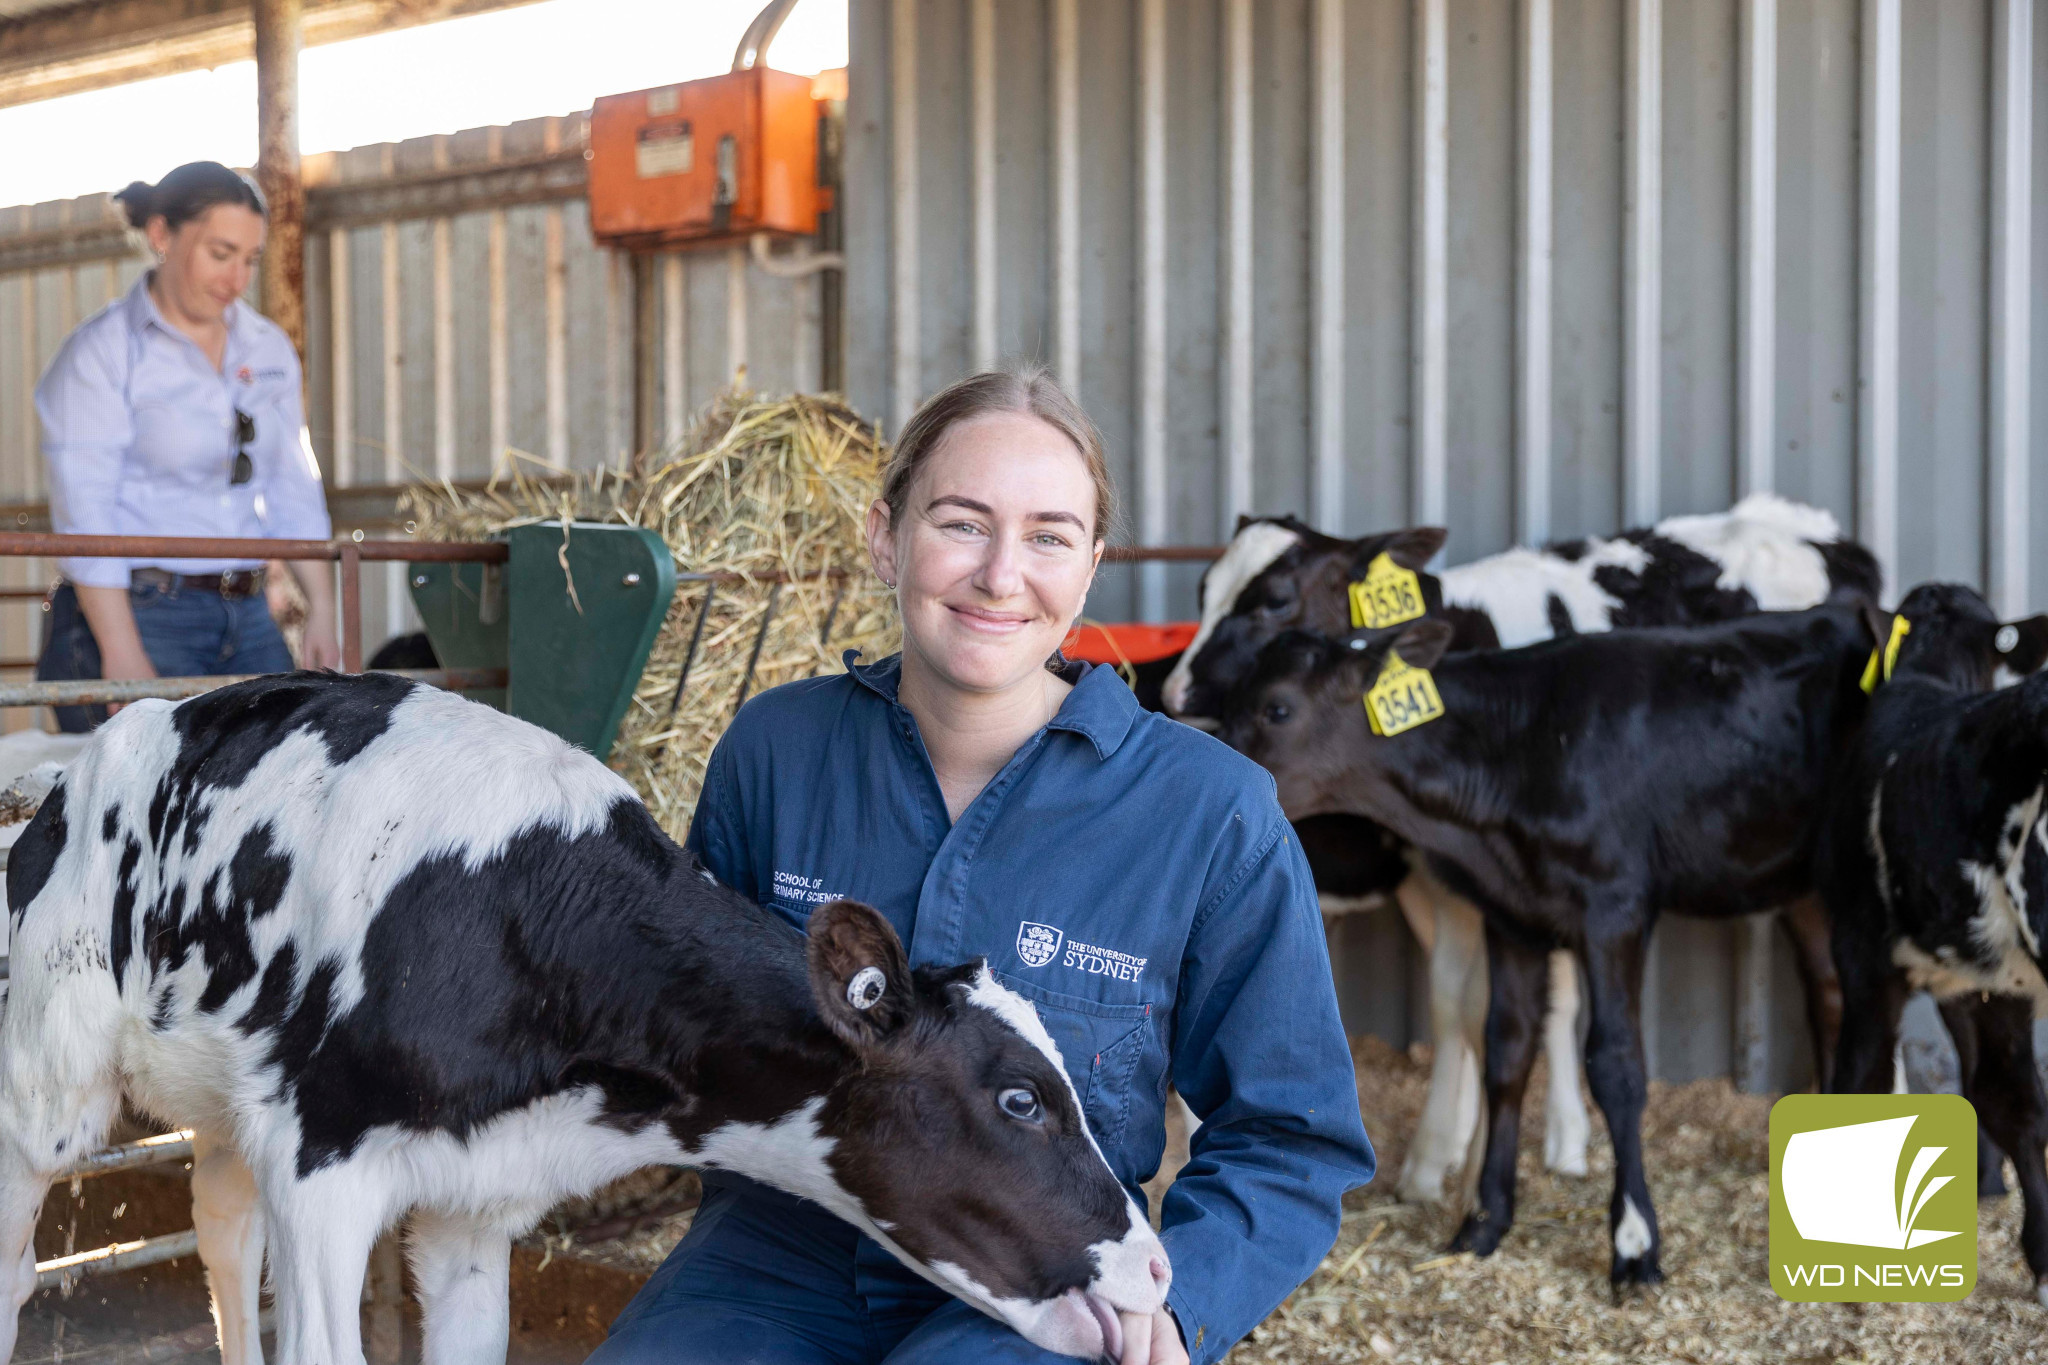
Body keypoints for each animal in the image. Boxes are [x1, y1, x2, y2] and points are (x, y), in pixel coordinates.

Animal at [0, 675, 1171, 1365]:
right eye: (1018, 1098)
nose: (1158, 1270)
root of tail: (80, 761)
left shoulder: (473, 1203)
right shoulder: (319, 1161)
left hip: (220, 1101)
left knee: (222, 1232)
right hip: (43, 1095)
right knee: (20, 1264)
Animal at [1220, 609, 1875, 1293]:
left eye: (1276, 708)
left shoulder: (1614, 908)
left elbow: (1615, 1066)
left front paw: (1634, 1243)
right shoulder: (1512, 914)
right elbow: (1506, 1052)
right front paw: (1484, 1220)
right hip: (1804, 886)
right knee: (1830, 995)